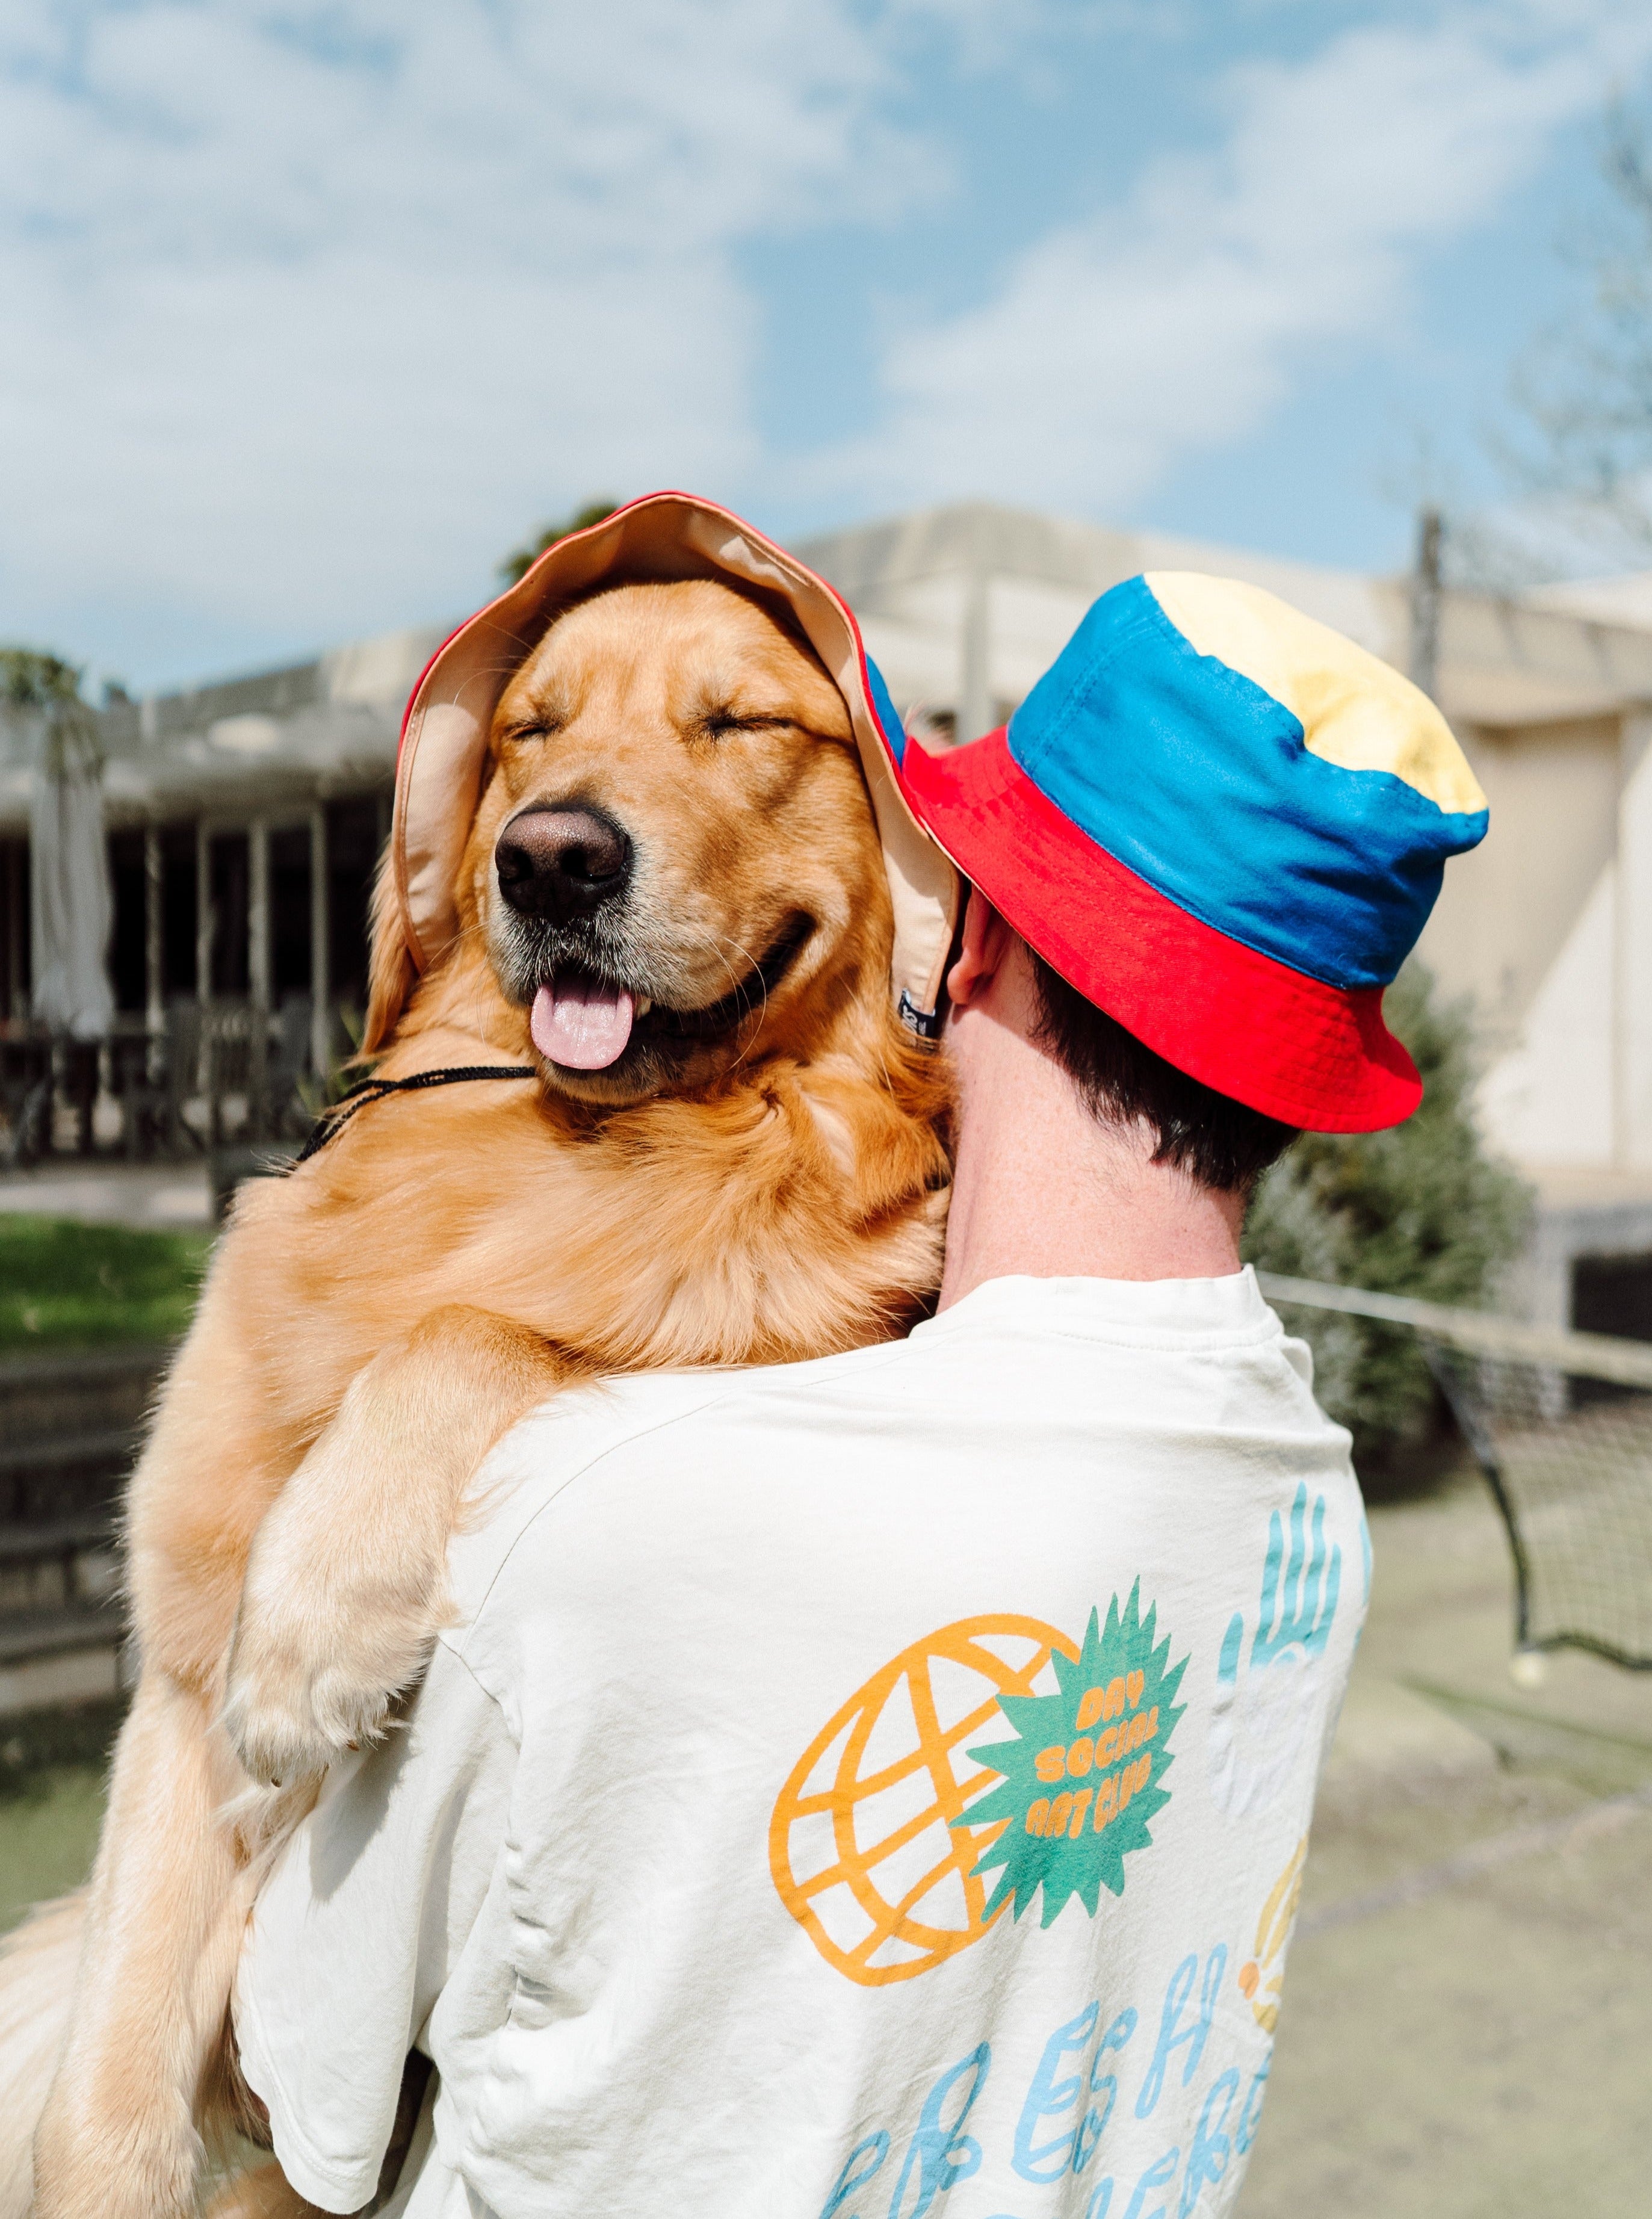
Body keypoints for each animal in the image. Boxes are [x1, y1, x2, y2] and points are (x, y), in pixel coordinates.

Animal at [0, 499, 953, 2219]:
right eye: (532, 729)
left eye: (742, 723)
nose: (550, 856)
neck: (577, 1138)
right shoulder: (173, 1680)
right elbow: (99, 2110)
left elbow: (487, 1319)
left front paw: (316, 1615)